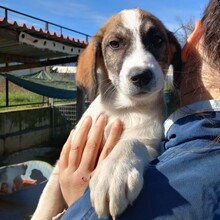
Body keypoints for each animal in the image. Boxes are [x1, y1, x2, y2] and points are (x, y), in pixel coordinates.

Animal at [31, 7, 181, 219]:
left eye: (157, 40)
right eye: (115, 44)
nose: (141, 76)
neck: (121, 109)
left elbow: (131, 141)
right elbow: (47, 202)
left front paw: (114, 172)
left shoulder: (152, 145)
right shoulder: (61, 164)